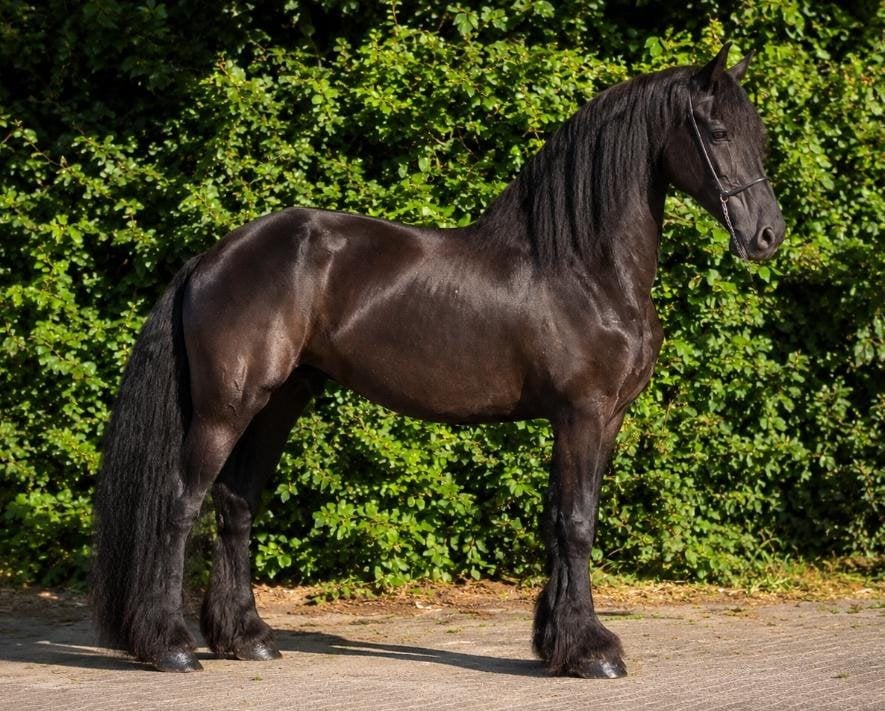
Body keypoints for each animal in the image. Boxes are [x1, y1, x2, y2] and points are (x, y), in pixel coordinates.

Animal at [92, 43, 785, 677]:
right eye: (718, 132)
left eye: (758, 135)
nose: (768, 235)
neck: (583, 267)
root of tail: (211, 259)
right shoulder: (581, 414)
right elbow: (577, 523)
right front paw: (592, 652)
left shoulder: (602, 419)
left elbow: (559, 521)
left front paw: (557, 643)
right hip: (226, 408)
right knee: (181, 505)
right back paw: (172, 646)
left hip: (279, 401)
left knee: (236, 504)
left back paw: (248, 638)